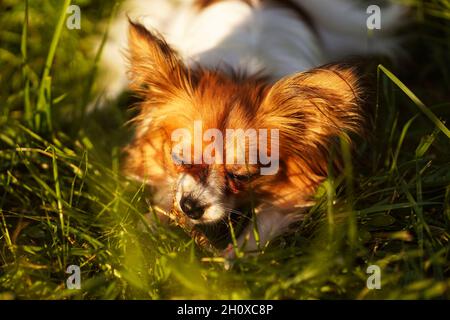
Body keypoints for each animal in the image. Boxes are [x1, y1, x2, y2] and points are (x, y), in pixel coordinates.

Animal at [97, 0, 404, 255]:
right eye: (180, 158)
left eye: (241, 176)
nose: (191, 206)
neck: (242, 73)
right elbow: (165, 197)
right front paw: (141, 233)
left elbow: (256, 235)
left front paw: (230, 265)